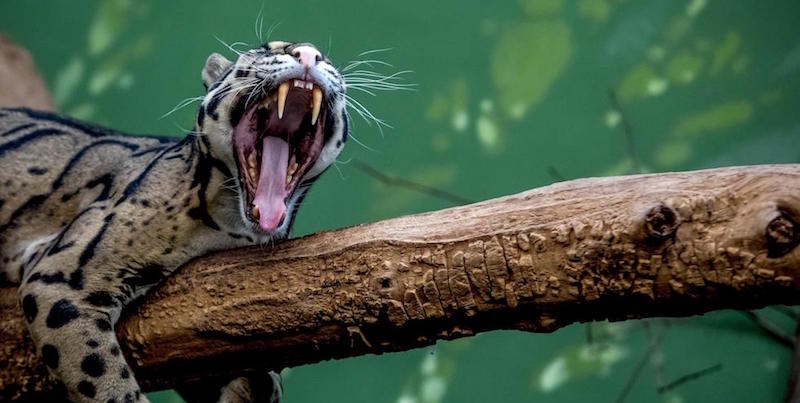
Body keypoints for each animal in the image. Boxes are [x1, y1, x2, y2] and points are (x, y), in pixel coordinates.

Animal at [1, 41, 348, 403]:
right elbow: (106, 380)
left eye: (327, 59)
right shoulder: (60, 277)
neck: (236, 230)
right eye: (266, 49)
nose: (308, 53)